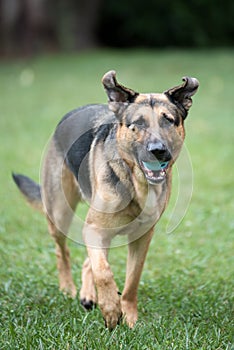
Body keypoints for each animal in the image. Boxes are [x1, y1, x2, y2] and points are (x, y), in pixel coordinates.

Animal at [12, 70, 198, 328]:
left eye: (168, 120)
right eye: (138, 123)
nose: (158, 150)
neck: (135, 184)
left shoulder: (141, 238)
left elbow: (131, 282)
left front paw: (130, 319)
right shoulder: (94, 229)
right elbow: (104, 272)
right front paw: (110, 309)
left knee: (88, 261)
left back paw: (88, 295)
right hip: (60, 214)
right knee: (63, 252)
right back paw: (69, 288)